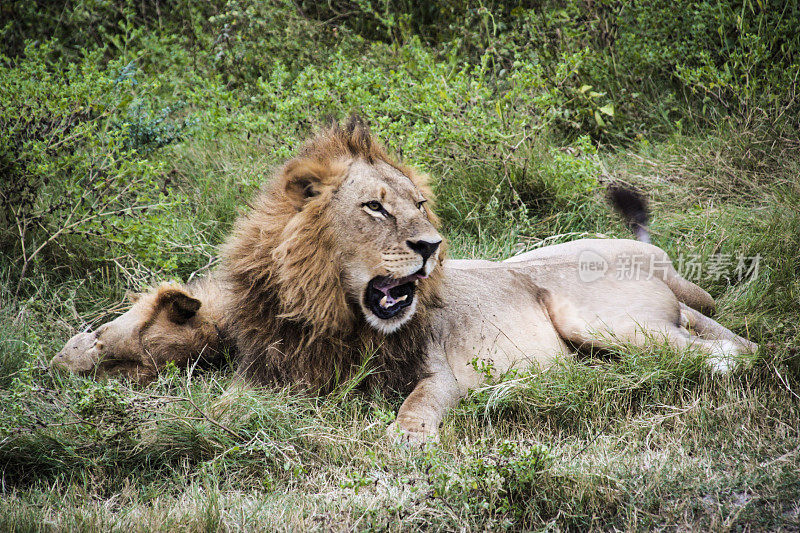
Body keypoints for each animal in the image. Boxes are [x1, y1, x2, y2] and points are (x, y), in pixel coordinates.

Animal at [222, 118, 760, 442]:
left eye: (420, 204)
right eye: (374, 207)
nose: (431, 246)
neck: (333, 316)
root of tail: (650, 262)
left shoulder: (436, 371)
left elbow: (419, 401)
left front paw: (406, 437)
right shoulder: (267, 371)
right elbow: (228, 403)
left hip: (603, 322)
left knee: (736, 351)